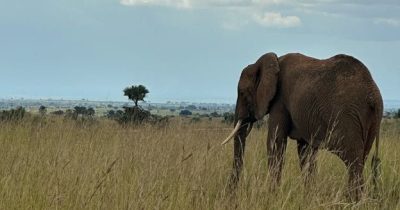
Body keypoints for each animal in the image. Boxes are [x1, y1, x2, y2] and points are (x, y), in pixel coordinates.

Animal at [223, 52, 382, 200]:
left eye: (242, 93)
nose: (231, 195)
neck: (271, 62)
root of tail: (373, 96)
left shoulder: (280, 101)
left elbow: (275, 142)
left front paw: (272, 195)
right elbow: (305, 152)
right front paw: (309, 197)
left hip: (347, 117)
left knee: (353, 162)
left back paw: (352, 201)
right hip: (372, 122)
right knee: (360, 160)